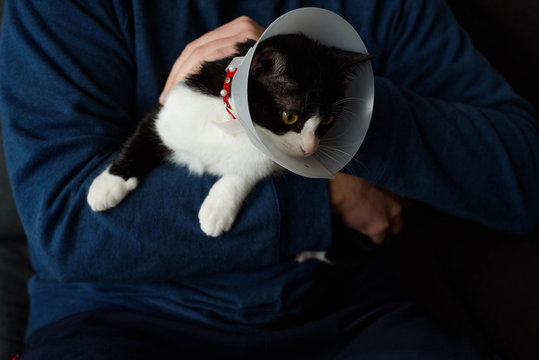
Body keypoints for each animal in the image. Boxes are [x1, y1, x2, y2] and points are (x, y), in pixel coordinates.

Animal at [87, 33, 376, 236]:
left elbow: (250, 170)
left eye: (327, 120)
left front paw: (218, 209)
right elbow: (142, 136)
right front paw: (108, 184)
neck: (235, 124)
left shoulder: (271, 157)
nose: (309, 149)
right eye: (290, 117)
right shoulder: (169, 110)